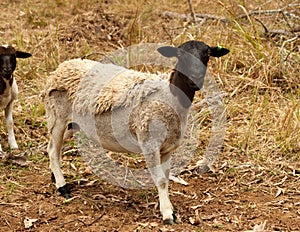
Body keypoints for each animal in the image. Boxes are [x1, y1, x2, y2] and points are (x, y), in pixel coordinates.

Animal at [43, 40, 229, 225]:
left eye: (207, 55)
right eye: (180, 55)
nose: (195, 80)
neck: (169, 97)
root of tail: (61, 67)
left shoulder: (167, 147)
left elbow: (166, 176)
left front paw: (169, 207)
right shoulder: (149, 143)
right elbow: (161, 180)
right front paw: (168, 214)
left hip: (72, 124)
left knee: (54, 148)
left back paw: (54, 176)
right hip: (57, 116)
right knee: (52, 150)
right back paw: (62, 186)